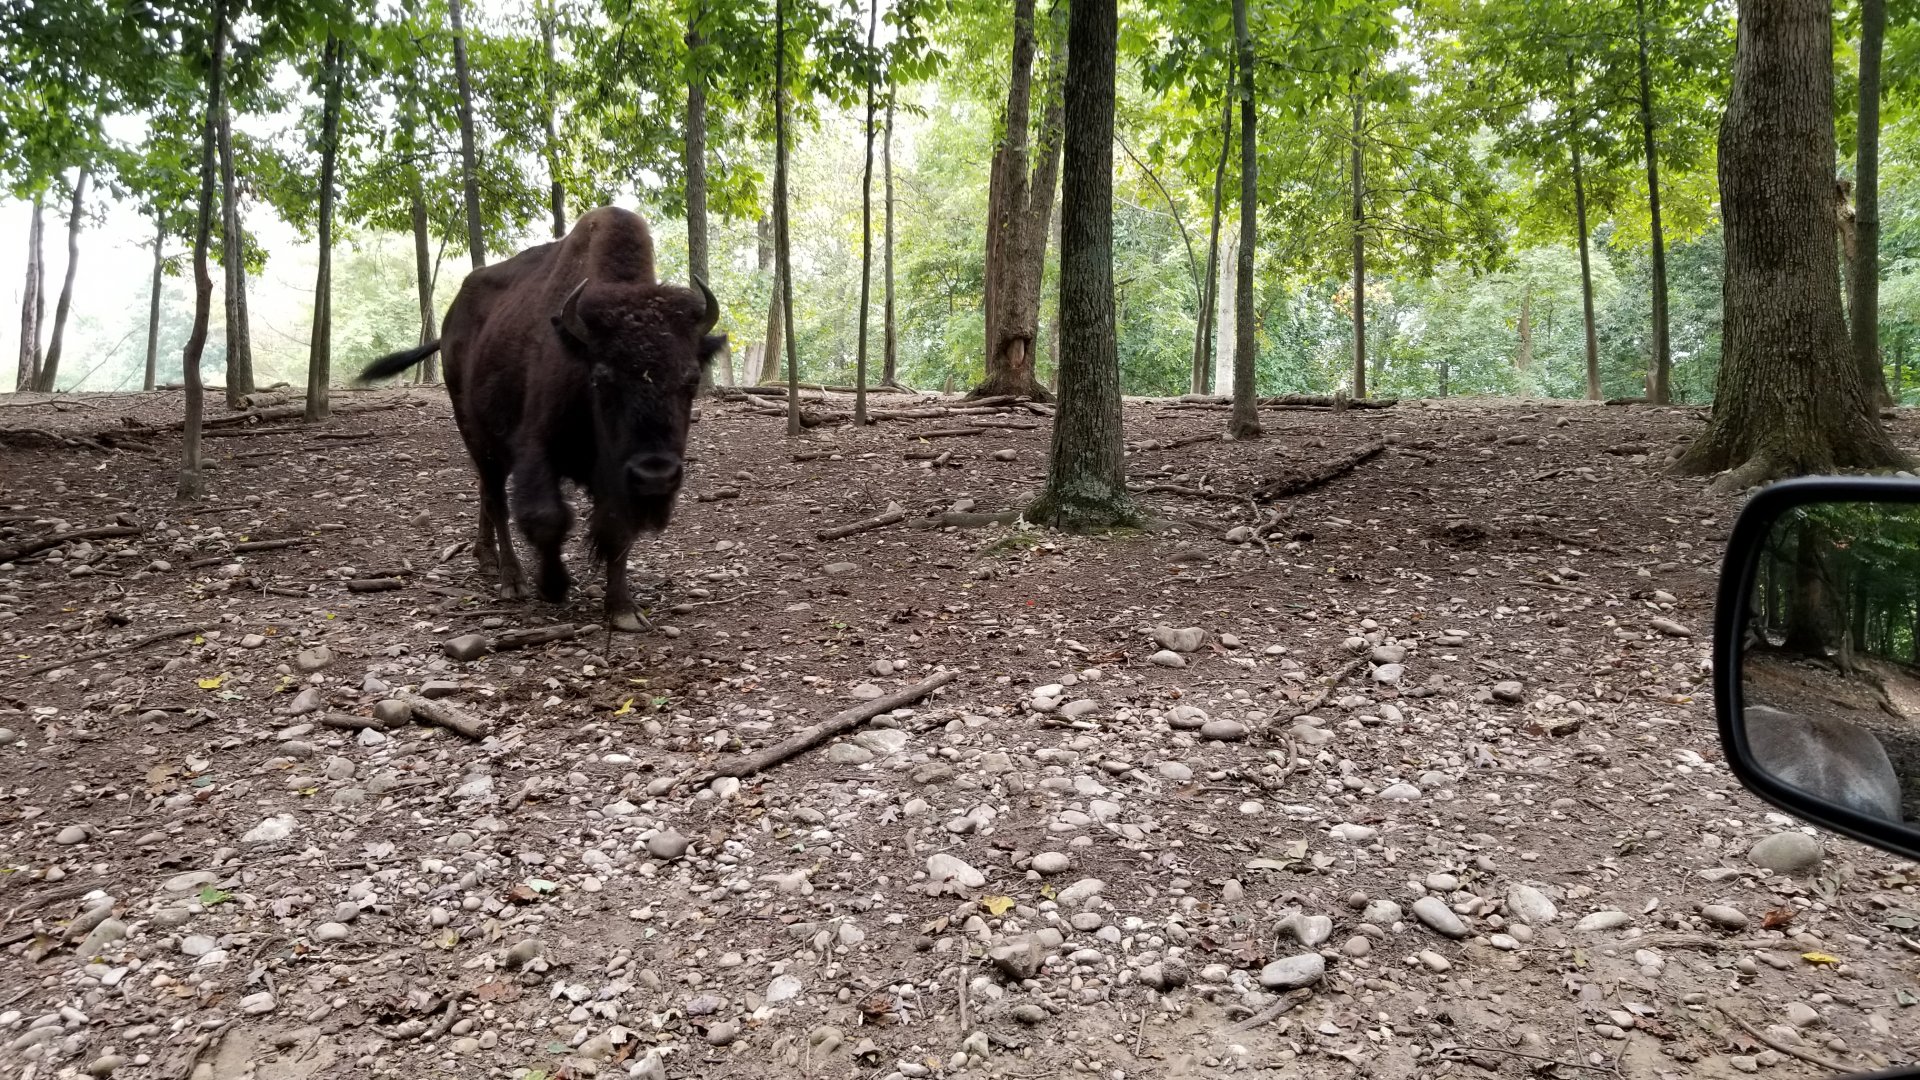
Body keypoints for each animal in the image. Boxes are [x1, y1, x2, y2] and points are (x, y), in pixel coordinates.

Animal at [360, 207, 724, 630]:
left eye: (692, 378)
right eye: (601, 378)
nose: (655, 475)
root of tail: (451, 321)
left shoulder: (616, 478)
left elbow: (617, 528)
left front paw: (623, 609)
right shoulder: (537, 449)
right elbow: (545, 517)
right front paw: (553, 587)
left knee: (486, 493)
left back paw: (487, 558)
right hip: (474, 430)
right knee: (496, 498)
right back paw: (511, 579)